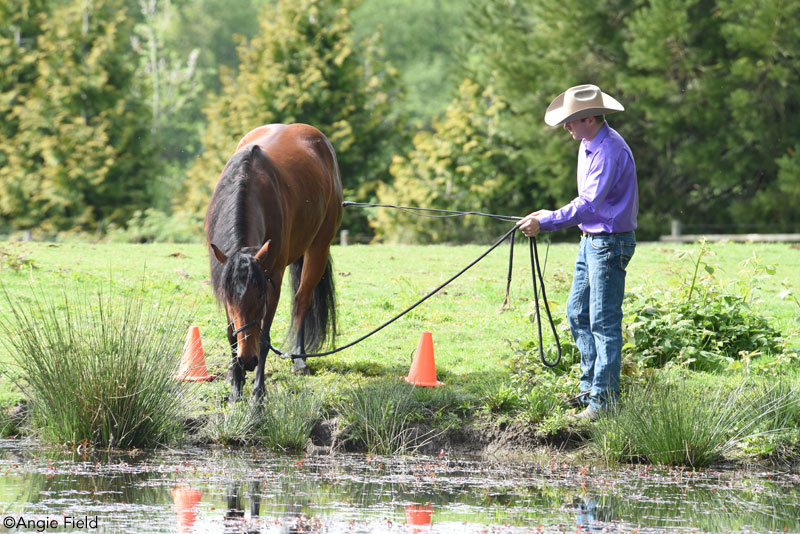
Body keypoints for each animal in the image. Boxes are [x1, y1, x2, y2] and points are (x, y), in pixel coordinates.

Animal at [205, 124, 342, 402]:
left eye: (259, 298)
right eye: (229, 300)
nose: (247, 360)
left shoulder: (273, 280)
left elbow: (264, 337)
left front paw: (258, 392)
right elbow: (231, 334)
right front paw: (235, 385)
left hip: (318, 248)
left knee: (301, 301)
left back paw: (299, 359)